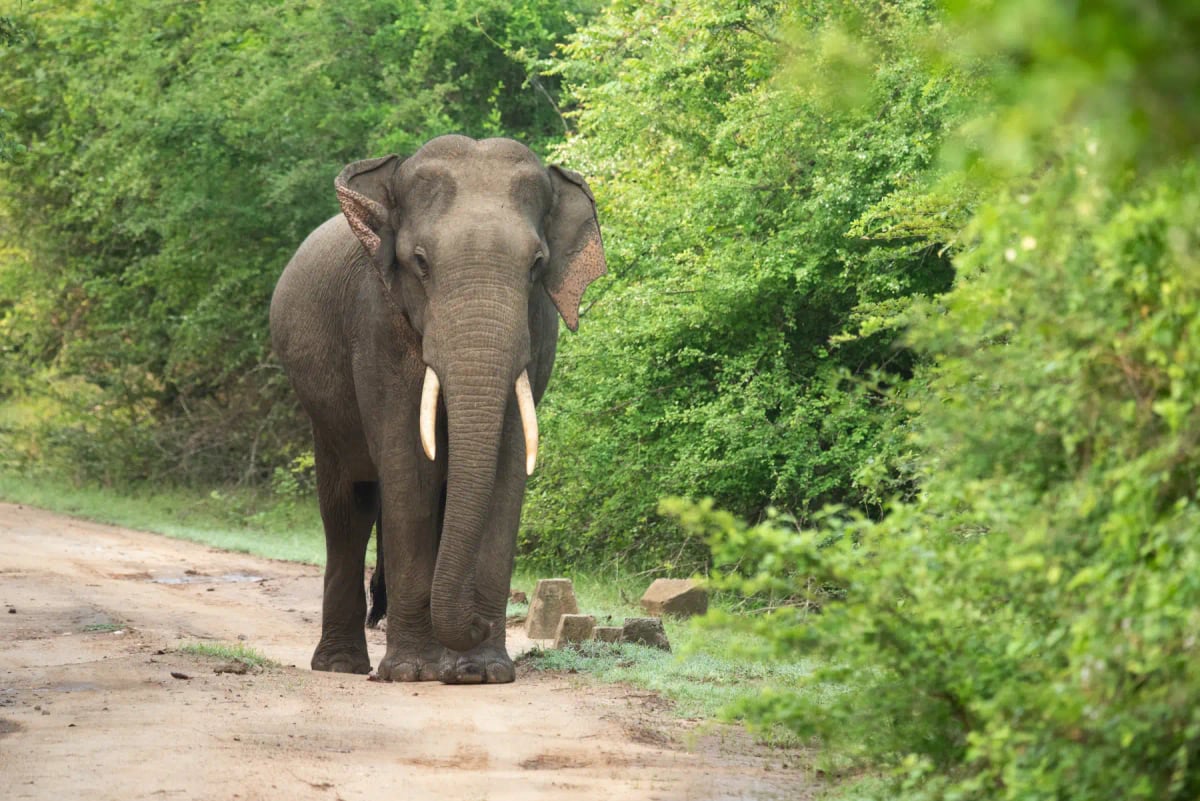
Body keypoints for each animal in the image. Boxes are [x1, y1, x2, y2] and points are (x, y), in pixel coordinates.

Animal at [269, 135, 606, 684]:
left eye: (536, 264)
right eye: (420, 262)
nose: (477, 622)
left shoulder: (537, 332)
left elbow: (507, 471)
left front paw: (481, 673)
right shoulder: (378, 323)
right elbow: (410, 469)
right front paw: (411, 672)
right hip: (322, 412)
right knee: (348, 507)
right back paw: (341, 666)